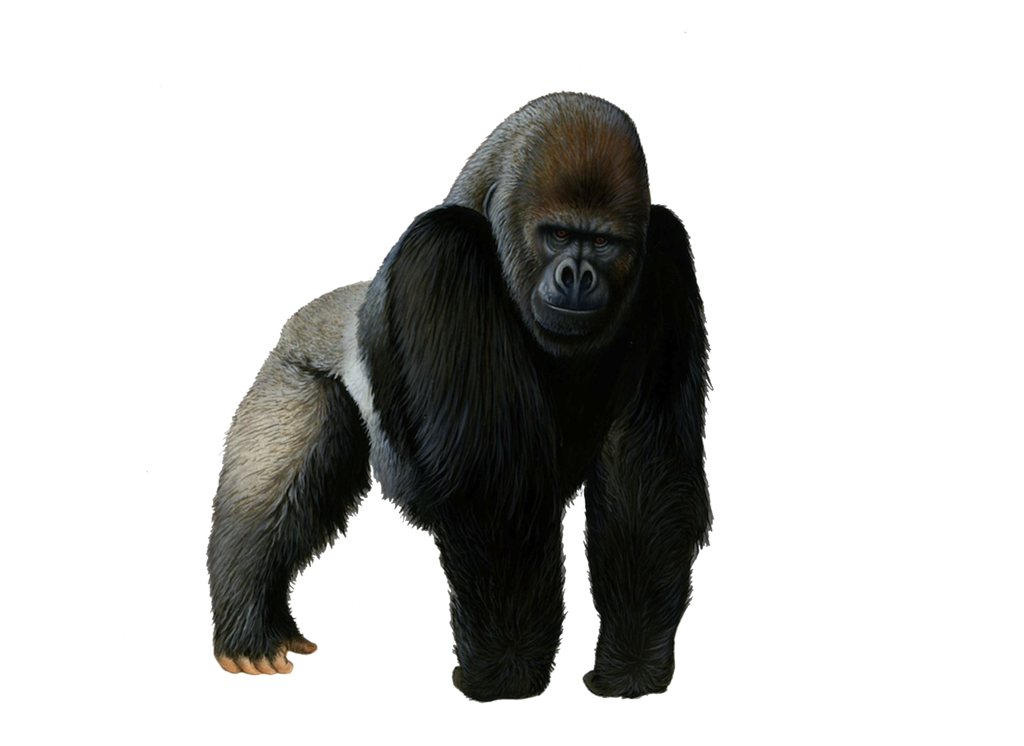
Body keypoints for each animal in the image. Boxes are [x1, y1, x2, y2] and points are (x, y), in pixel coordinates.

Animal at [206, 91, 712, 700]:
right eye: (557, 235)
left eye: (602, 242)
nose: (577, 276)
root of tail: (329, 305)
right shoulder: (442, 251)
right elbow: (493, 493)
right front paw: (506, 671)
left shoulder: (665, 253)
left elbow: (646, 476)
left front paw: (631, 668)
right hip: (294, 364)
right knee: (269, 486)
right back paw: (251, 626)